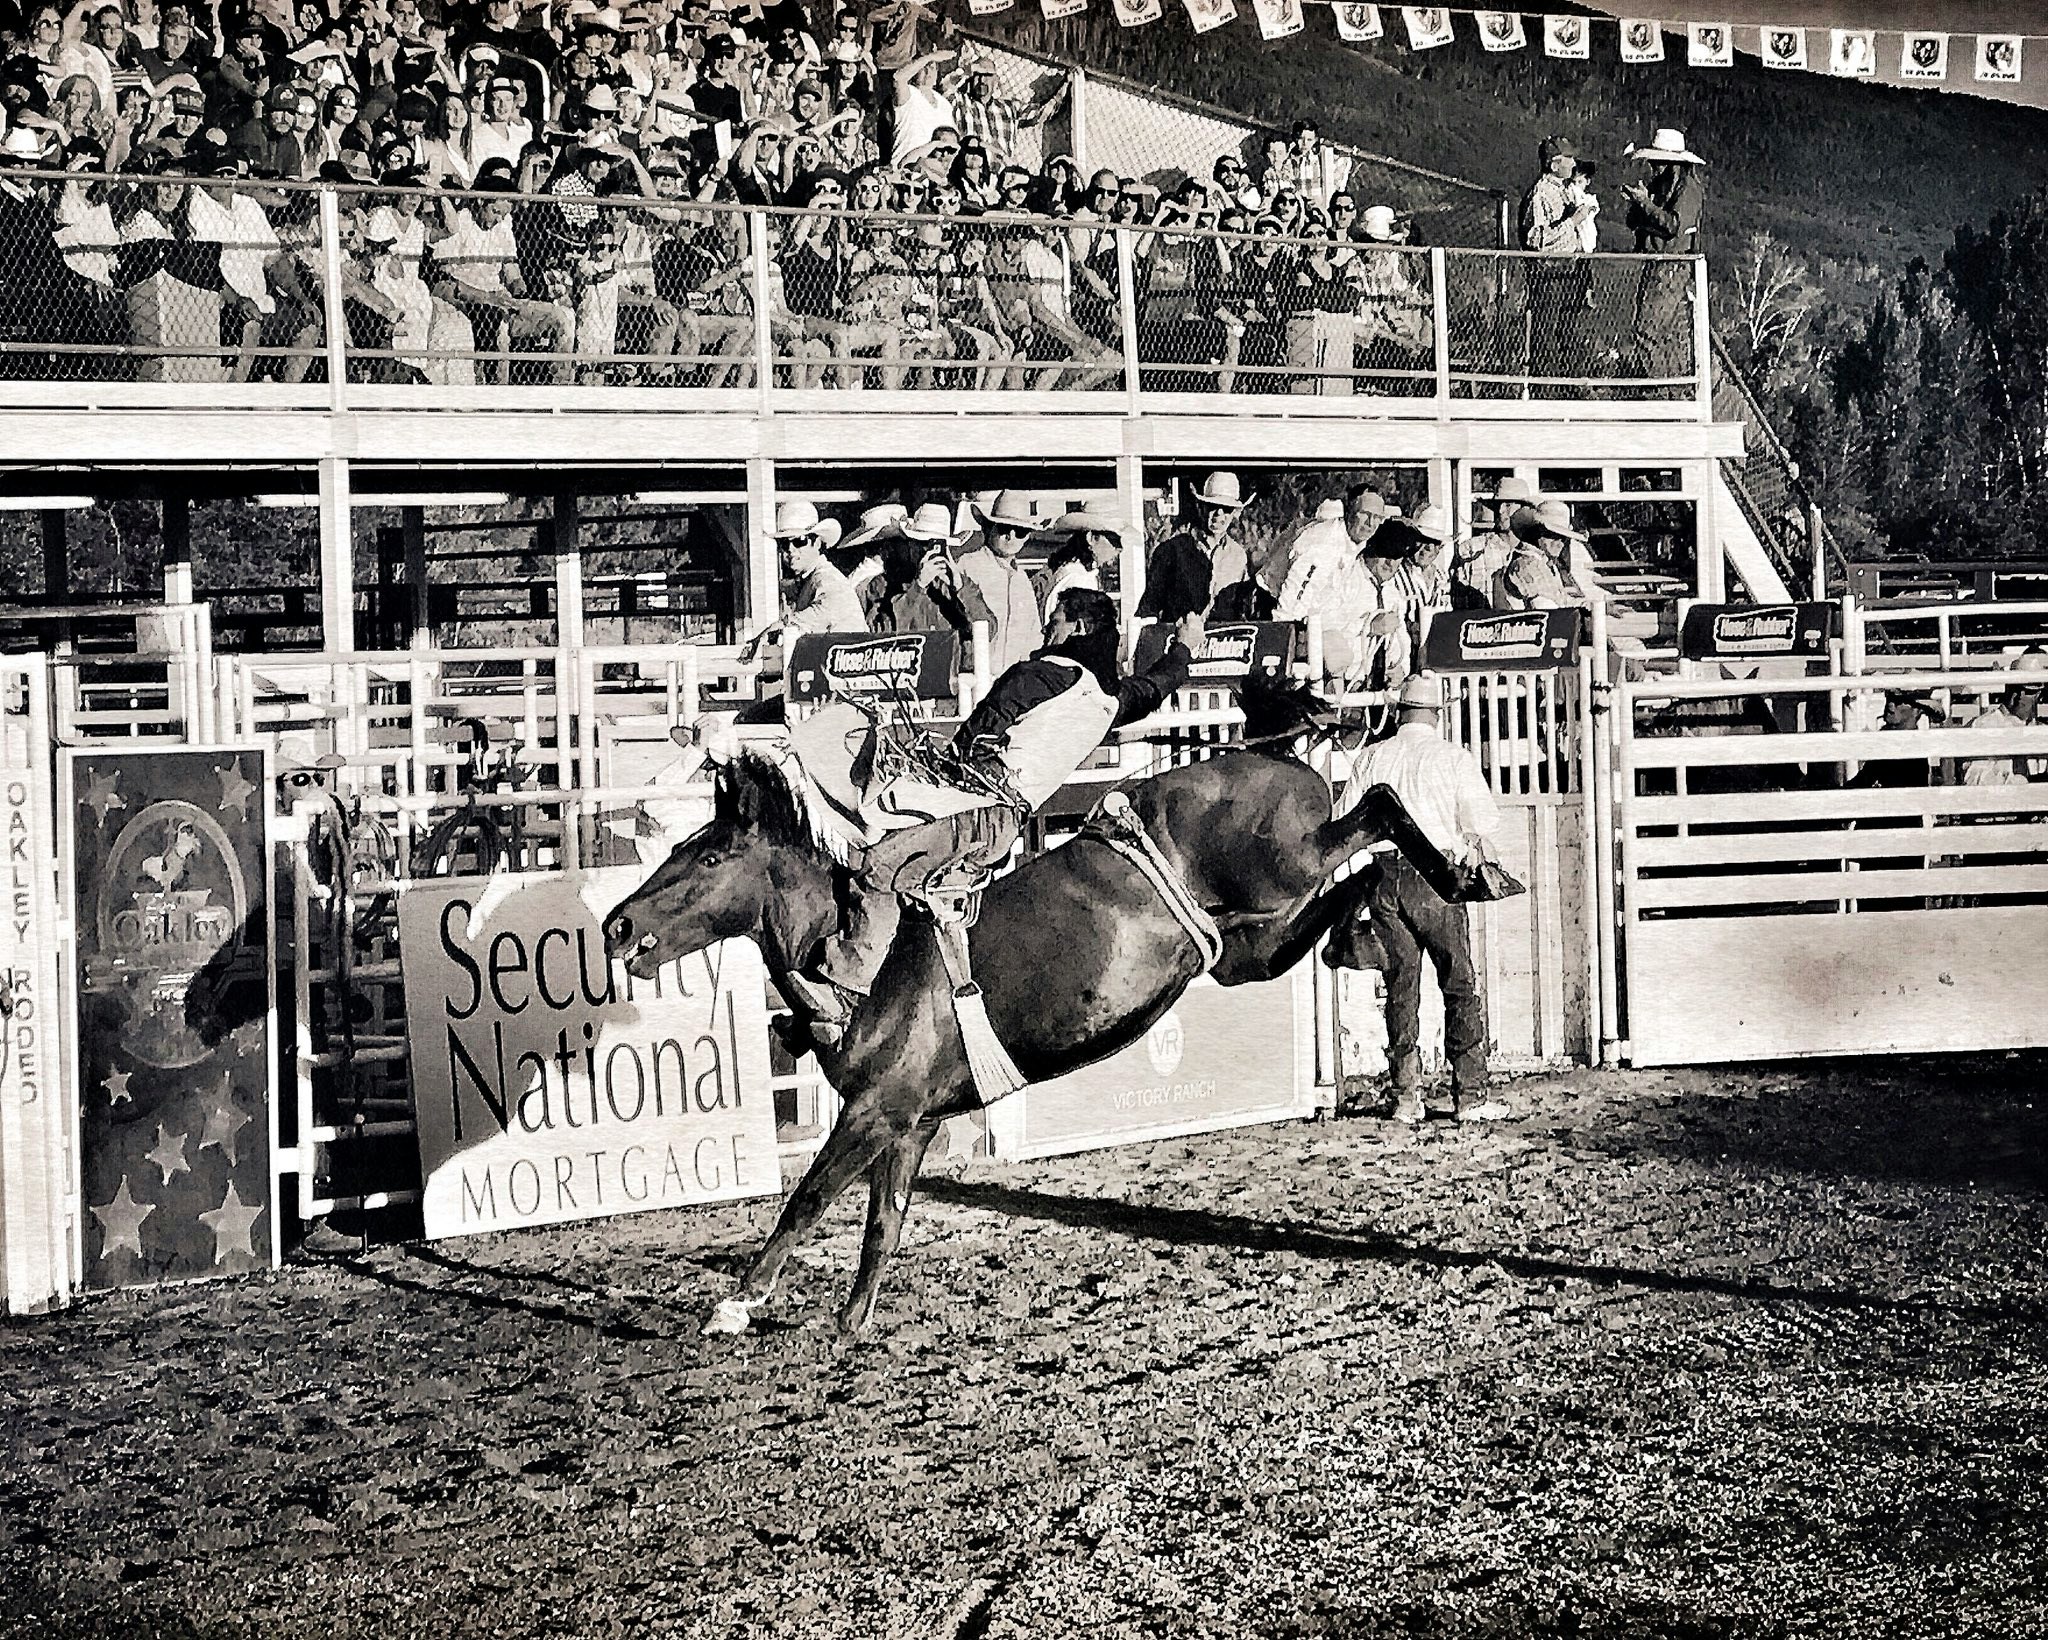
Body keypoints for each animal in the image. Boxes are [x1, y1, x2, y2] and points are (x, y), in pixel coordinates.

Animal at [598, 683, 1449, 1334]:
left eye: (709, 855)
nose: (617, 926)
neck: (859, 965)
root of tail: (1283, 752)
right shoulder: (912, 1123)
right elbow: (882, 1225)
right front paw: (849, 1324)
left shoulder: (875, 1111)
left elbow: (805, 1200)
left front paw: (735, 1306)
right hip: (1248, 945)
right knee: (1351, 881)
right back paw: (1384, 921)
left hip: (1285, 865)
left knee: (1378, 808)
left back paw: (1463, 870)